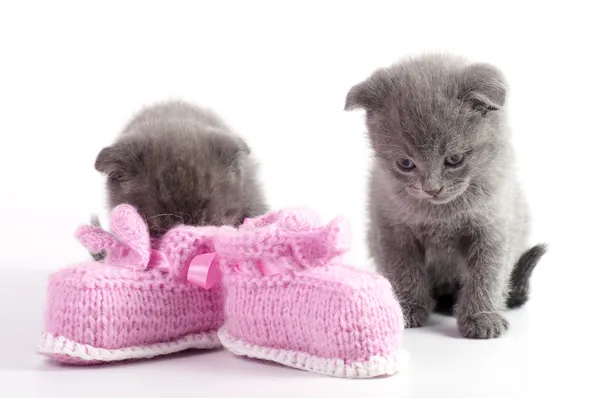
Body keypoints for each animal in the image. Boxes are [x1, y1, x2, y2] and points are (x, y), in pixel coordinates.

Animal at [344, 52, 548, 338]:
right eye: (405, 164)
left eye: (454, 159)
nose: (432, 188)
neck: (441, 215)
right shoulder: (392, 229)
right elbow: (404, 270)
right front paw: (407, 309)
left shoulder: (494, 228)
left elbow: (487, 274)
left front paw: (481, 317)